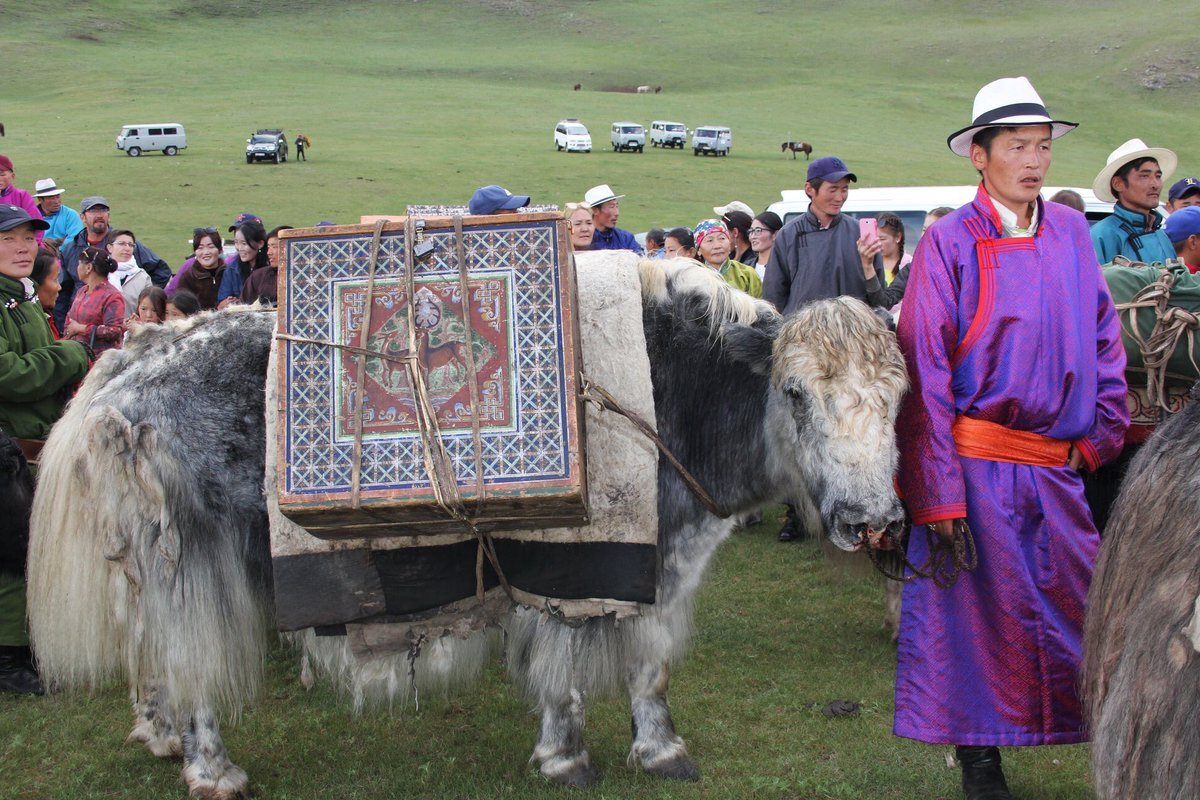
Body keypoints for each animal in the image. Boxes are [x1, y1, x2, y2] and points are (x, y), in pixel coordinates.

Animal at [25, 257, 907, 800]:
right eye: (795, 393)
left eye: (898, 397)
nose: (868, 520)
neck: (672, 398)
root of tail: (117, 385)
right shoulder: (590, 565)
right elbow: (574, 666)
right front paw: (570, 757)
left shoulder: (659, 568)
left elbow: (650, 666)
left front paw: (660, 752)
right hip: (193, 568)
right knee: (191, 666)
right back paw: (214, 771)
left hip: (143, 568)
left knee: (148, 657)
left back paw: (159, 737)